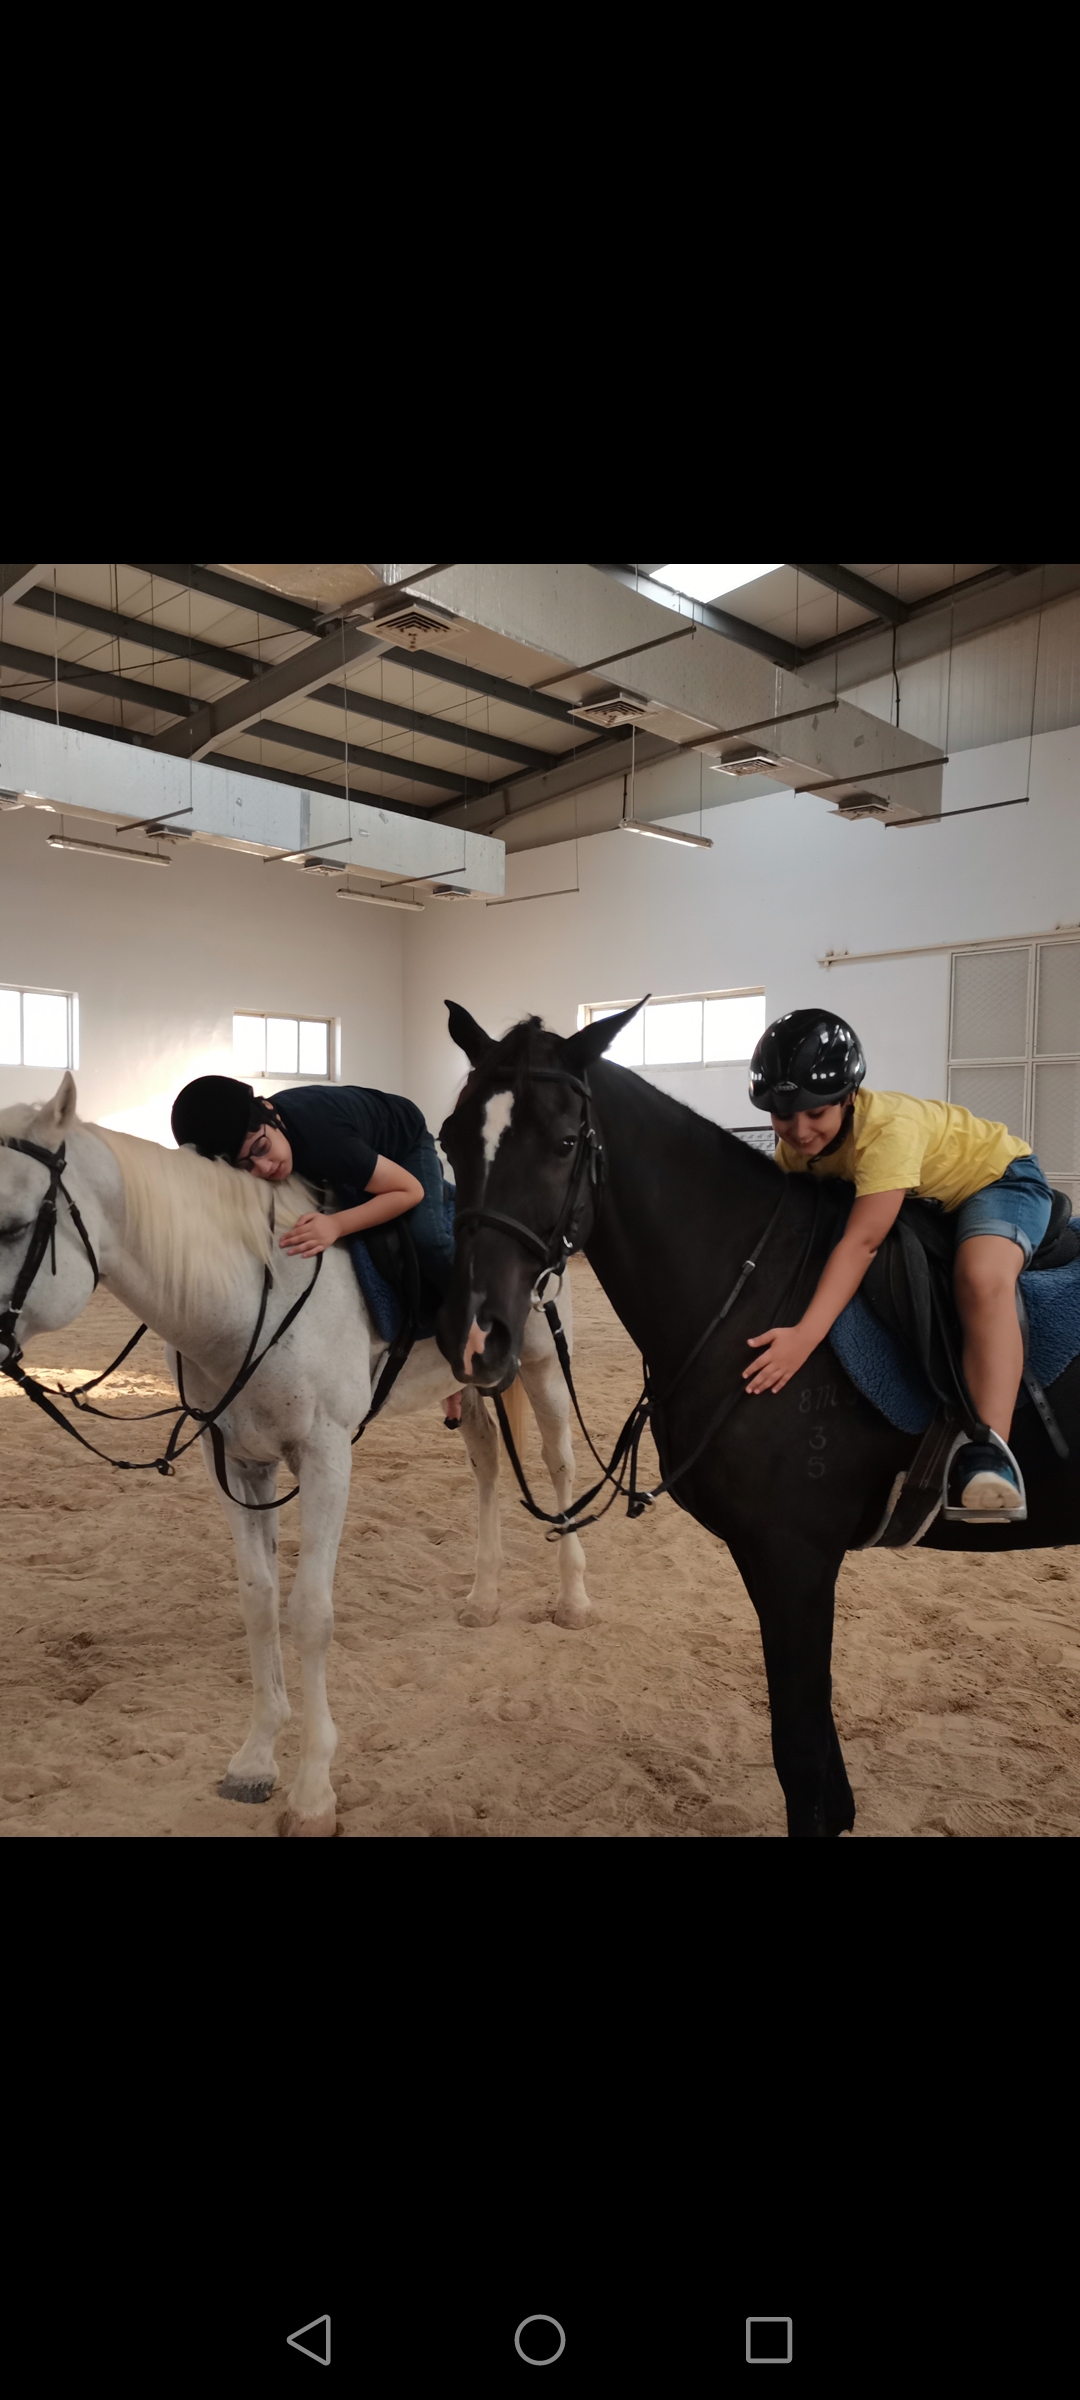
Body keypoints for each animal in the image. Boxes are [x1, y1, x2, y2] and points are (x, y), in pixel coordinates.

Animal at [0, 1074, 591, 1835]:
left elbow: (311, 1611)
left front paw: (313, 1791)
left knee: (558, 1464)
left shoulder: (326, 1457)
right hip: (471, 1380)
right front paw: (255, 1760)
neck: (247, 1294)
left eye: (14, 1226)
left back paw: (573, 1601)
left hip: (543, 1365)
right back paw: (483, 1600)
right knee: (489, 1461)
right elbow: (258, 1600)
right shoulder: (236, 1464)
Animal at [435, 1003, 1080, 1838]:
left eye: (566, 1141)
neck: (757, 1295)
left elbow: (804, 1766)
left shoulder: (794, 1562)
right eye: (450, 1138)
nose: (475, 1336)